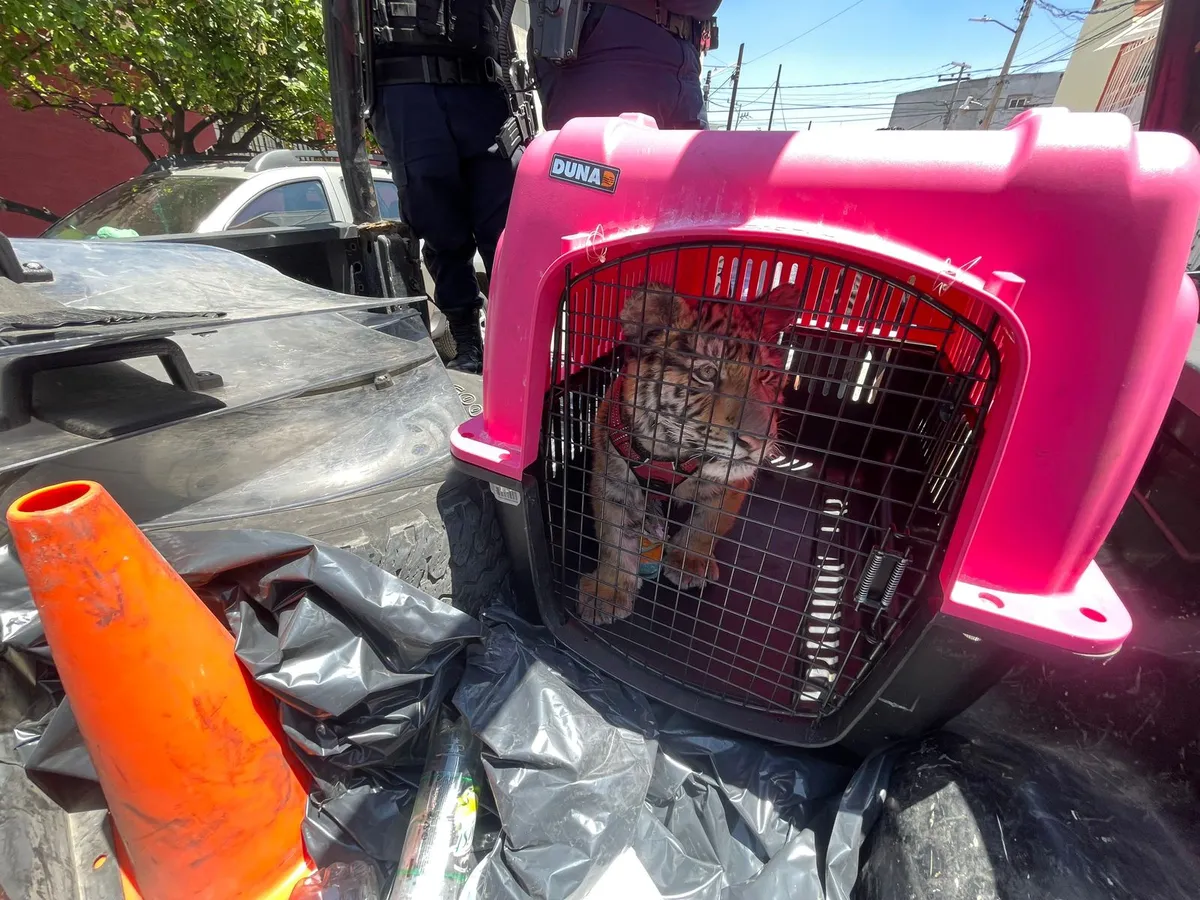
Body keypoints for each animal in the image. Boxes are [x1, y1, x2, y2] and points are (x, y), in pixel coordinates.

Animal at [576, 280, 800, 625]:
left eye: (765, 374)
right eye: (707, 373)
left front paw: (688, 562)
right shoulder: (611, 480)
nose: (759, 441)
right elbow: (611, 537)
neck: (670, 450)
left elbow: (708, 524)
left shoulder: (731, 486)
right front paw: (607, 591)